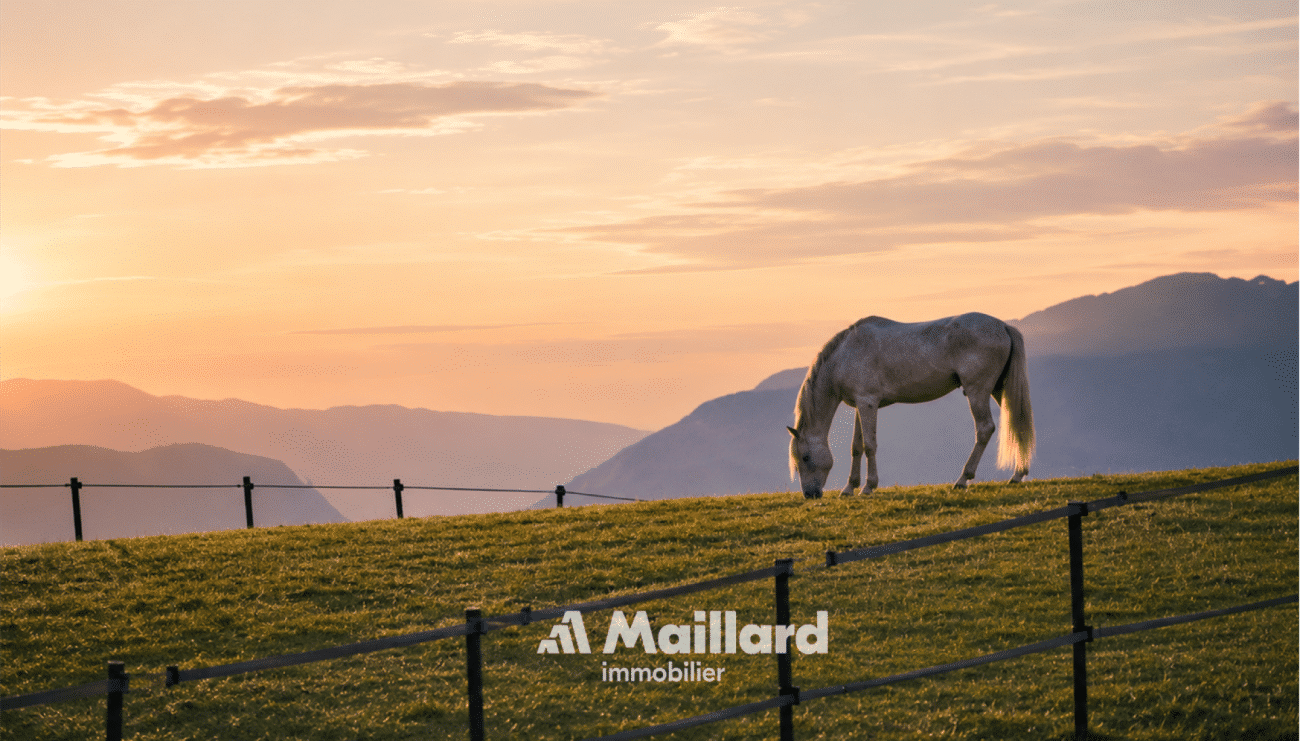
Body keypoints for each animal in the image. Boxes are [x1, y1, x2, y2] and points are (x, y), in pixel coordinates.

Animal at [787, 312, 1034, 499]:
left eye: (805, 457)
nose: (810, 494)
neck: (845, 354)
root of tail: (1003, 325)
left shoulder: (868, 403)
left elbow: (869, 445)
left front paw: (868, 486)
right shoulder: (859, 405)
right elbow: (856, 447)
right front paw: (849, 488)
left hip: (977, 392)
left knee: (985, 429)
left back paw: (963, 479)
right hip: (998, 390)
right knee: (1017, 424)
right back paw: (1017, 475)